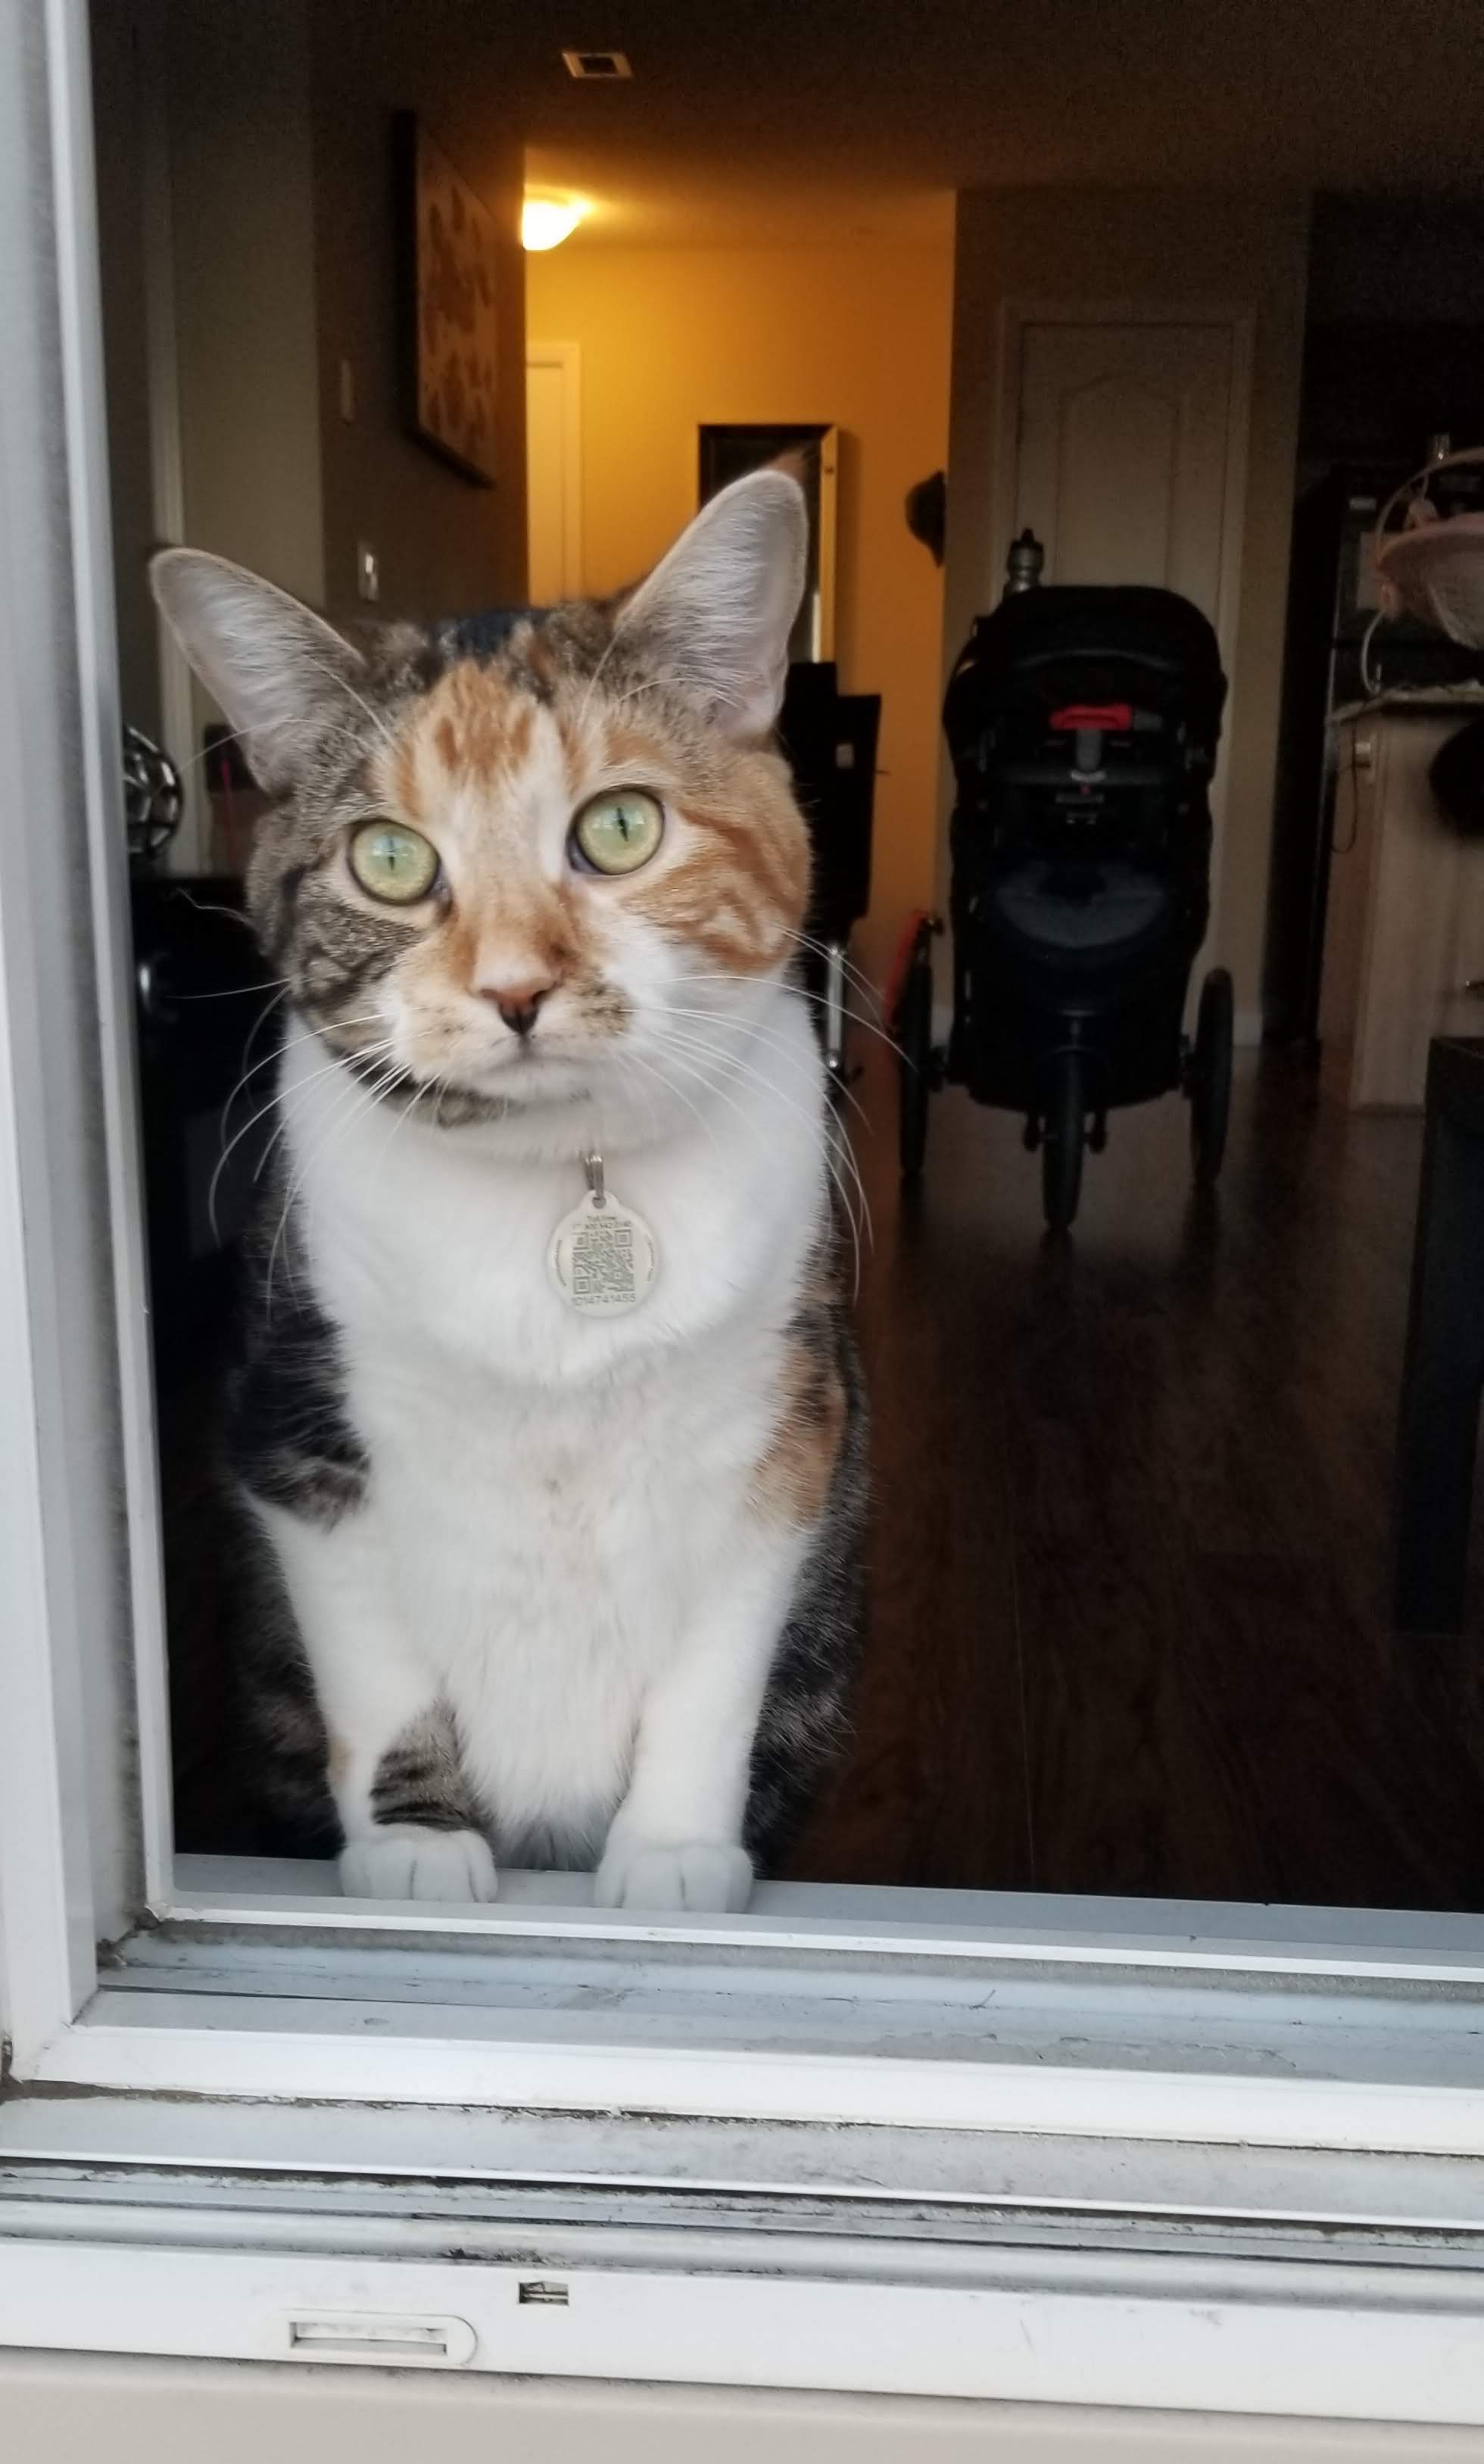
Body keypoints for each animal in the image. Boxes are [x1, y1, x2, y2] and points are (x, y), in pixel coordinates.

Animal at [151, 468, 867, 1912]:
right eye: (386, 858)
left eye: (621, 826)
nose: (516, 986)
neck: (559, 1174)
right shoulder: (298, 1433)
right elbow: (375, 1663)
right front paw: (419, 1849)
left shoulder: (787, 1428)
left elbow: (716, 1668)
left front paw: (672, 1855)